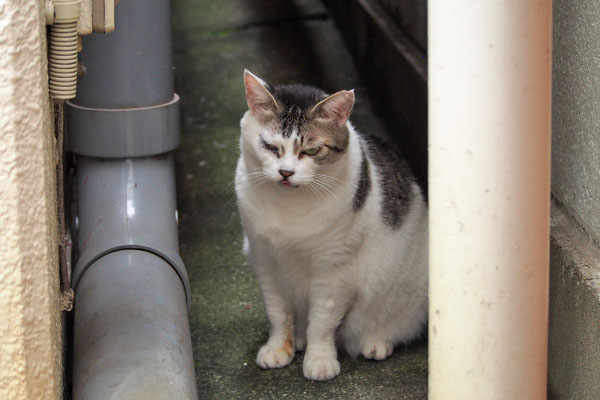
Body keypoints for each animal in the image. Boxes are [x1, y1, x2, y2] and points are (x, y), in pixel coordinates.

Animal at [234, 69, 426, 382]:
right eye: (270, 147)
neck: (290, 208)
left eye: (312, 150)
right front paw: (278, 348)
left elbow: (322, 323)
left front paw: (320, 360)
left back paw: (376, 342)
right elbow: (278, 314)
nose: (285, 173)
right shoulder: (265, 261)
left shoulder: (334, 271)